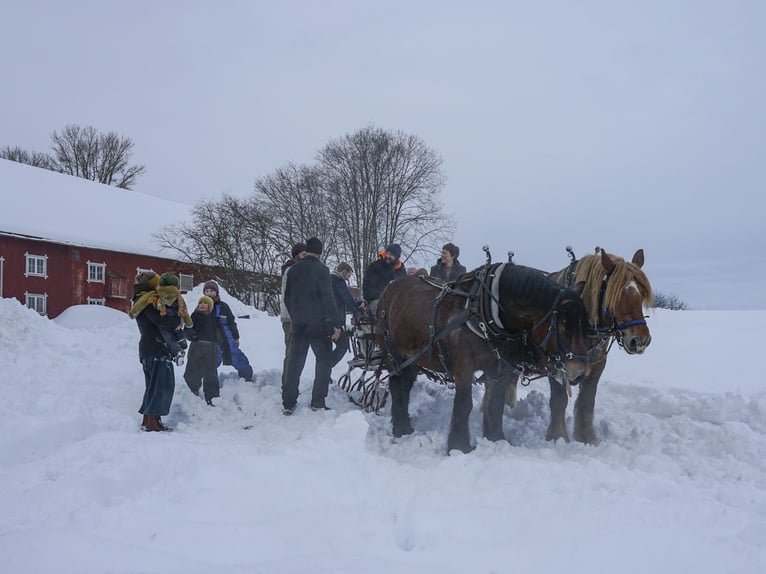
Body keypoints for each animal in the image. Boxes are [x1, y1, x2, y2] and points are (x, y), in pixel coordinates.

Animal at [378, 264, 592, 456]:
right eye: (563, 325)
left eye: (584, 325)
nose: (580, 373)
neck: (484, 313)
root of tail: (390, 286)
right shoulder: (463, 369)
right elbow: (464, 405)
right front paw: (459, 446)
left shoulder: (499, 370)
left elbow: (496, 404)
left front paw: (496, 438)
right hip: (393, 354)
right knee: (397, 386)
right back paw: (401, 429)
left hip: (413, 358)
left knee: (405, 386)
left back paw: (404, 425)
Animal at [486, 249, 656, 446]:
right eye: (617, 294)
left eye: (642, 294)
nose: (640, 340)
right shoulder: (555, 362)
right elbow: (559, 400)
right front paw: (558, 437)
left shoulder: (597, 365)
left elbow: (587, 401)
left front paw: (587, 438)